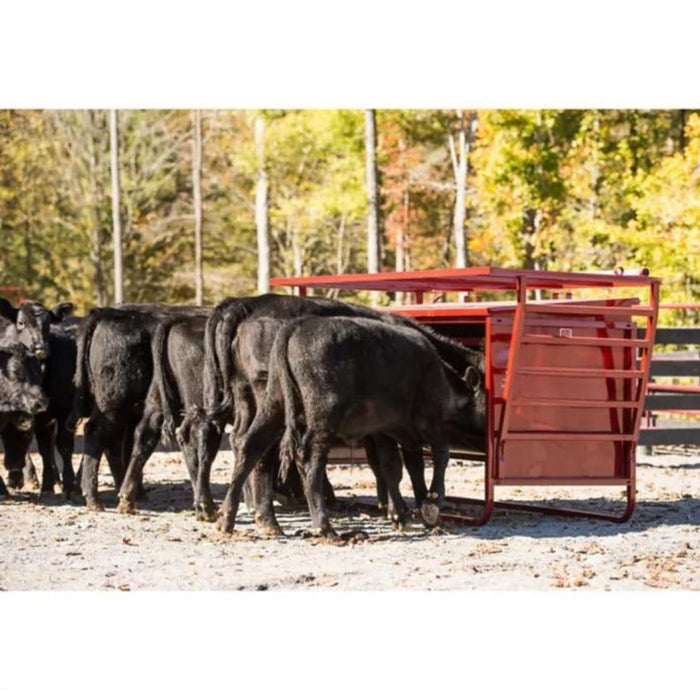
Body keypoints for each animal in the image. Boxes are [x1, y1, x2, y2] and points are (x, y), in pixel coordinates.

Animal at [194, 293, 484, 534]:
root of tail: (242, 305)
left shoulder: (388, 429)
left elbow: (400, 465)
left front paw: (405, 508)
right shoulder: (419, 422)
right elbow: (422, 458)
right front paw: (422, 505)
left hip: (255, 399)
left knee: (243, 442)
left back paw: (235, 514)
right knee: (273, 453)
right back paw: (270, 516)